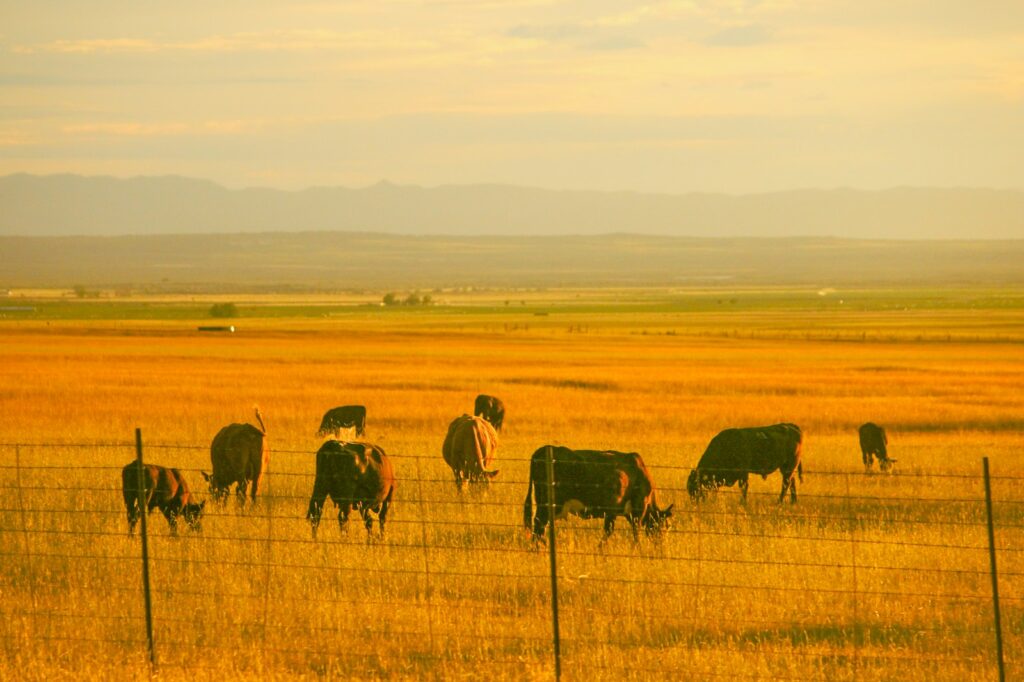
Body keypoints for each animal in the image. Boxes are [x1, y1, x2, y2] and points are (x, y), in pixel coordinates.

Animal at [522, 445, 673, 544]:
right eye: (664, 526)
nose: (661, 546)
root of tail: (543, 449)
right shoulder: (634, 509)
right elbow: (628, 531)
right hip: (548, 505)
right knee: (539, 526)